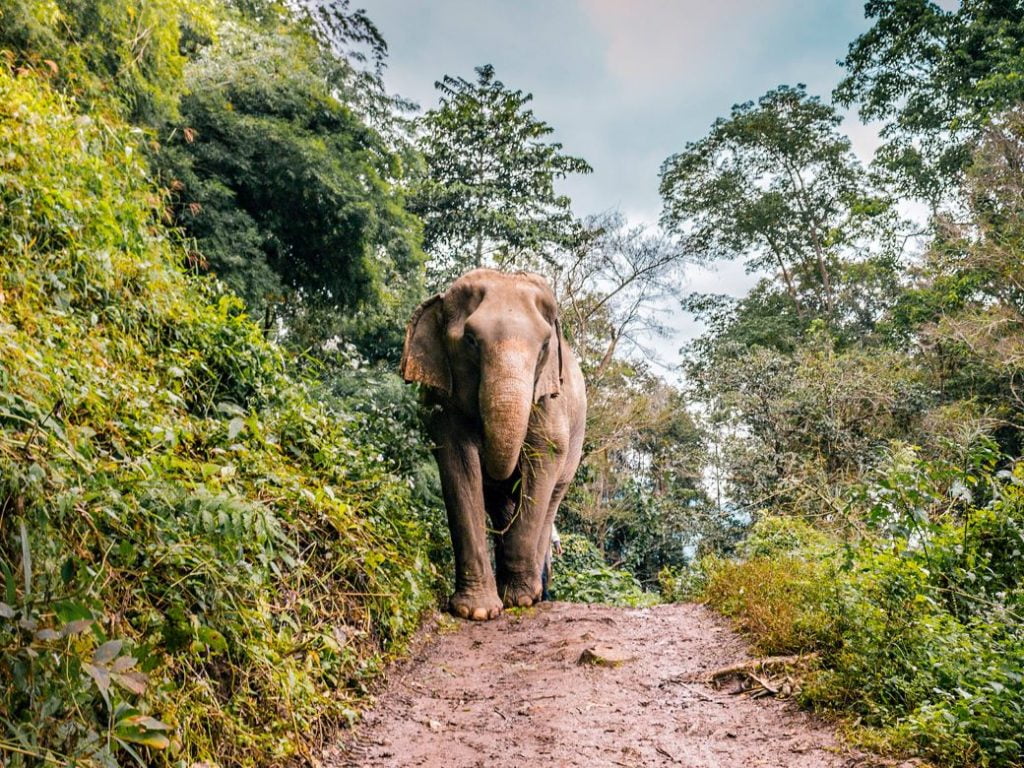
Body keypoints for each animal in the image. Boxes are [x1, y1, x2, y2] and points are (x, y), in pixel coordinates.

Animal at [400, 268, 587, 620]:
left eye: (544, 346)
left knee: (551, 497)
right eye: (471, 341)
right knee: (501, 505)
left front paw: (520, 600)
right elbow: (458, 463)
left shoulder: (549, 399)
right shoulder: (444, 402)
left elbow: (545, 456)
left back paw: (534, 593)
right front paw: (477, 611)